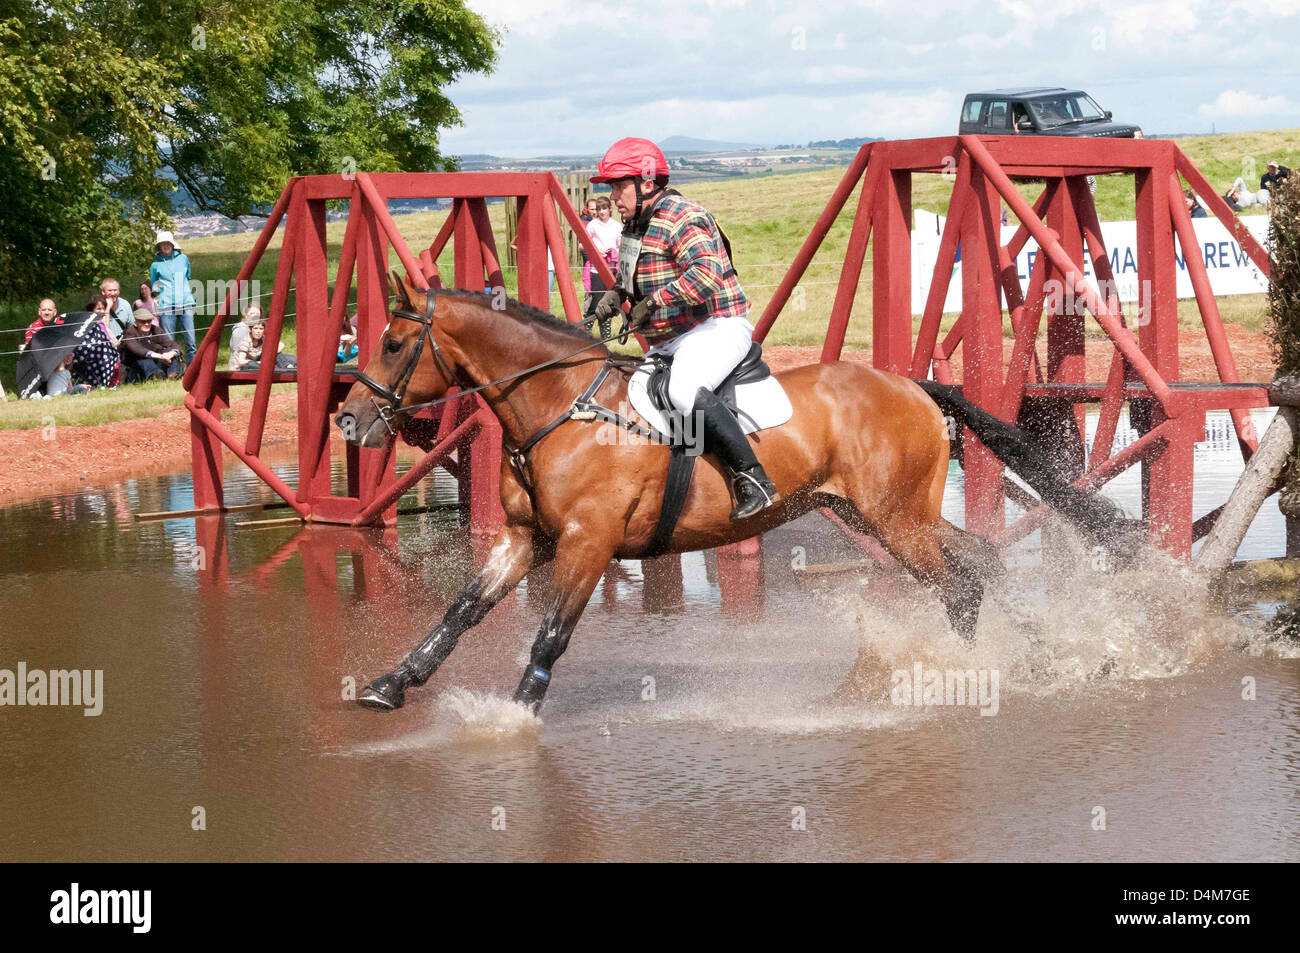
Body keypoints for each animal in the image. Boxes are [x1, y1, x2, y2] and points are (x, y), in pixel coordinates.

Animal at [335, 273, 1002, 714]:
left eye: (393, 345)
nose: (347, 419)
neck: (560, 407)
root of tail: (911, 386)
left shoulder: (588, 542)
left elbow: (552, 631)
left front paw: (515, 715)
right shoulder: (528, 536)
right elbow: (463, 609)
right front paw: (392, 683)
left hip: (896, 522)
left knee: (960, 581)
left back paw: (965, 671)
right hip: (879, 515)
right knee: (978, 559)